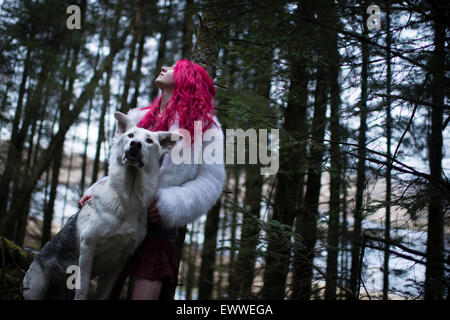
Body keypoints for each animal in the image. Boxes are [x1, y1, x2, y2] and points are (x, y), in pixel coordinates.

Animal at [22, 111, 181, 298]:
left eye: (149, 140)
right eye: (130, 135)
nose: (135, 144)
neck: (128, 200)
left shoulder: (121, 260)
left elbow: (105, 294)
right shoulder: (88, 245)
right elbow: (82, 289)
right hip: (34, 289)